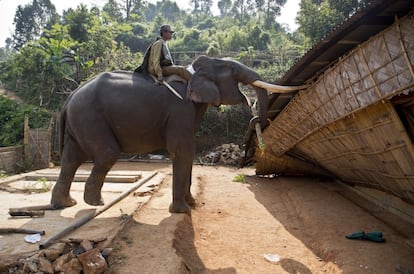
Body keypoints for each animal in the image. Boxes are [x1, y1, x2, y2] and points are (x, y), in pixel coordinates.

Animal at [51, 55, 294, 214]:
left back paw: (65, 204)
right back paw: (96, 204)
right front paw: (183, 211)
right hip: (90, 118)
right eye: (233, 70)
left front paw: (192, 205)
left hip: (80, 122)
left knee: (71, 159)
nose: (256, 119)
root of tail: (70, 96)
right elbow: (183, 150)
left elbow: (188, 152)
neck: (194, 70)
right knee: (105, 155)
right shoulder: (180, 109)